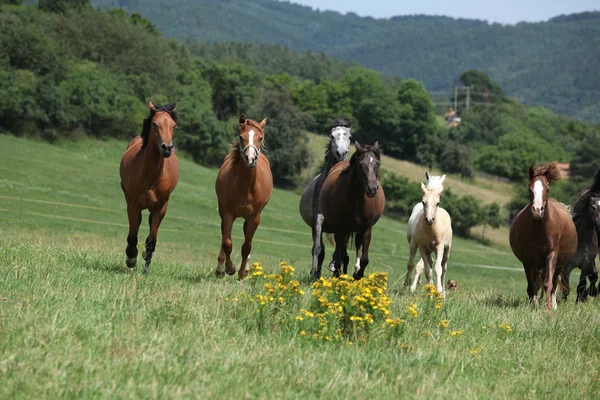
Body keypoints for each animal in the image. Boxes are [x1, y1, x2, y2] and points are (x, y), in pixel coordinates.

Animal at [119, 101, 179, 274]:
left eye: (174, 125)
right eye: (154, 124)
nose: (167, 148)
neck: (151, 175)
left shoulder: (160, 208)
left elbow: (151, 239)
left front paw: (146, 266)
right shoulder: (132, 205)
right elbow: (133, 236)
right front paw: (131, 259)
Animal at [298, 115, 354, 278]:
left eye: (350, 137)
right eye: (332, 135)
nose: (341, 153)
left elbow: (340, 251)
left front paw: (336, 269)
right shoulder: (318, 219)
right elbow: (317, 248)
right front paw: (313, 272)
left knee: (344, 253)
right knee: (322, 250)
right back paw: (318, 273)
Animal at [318, 142, 384, 280]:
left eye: (378, 164)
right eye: (361, 164)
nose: (372, 189)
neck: (356, 199)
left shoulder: (366, 229)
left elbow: (364, 259)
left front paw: (359, 276)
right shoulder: (340, 229)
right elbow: (340, 256)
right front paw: (338, 275)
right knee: (342, 253)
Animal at [508, 162, 580, 310]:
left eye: (547, 188)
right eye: (529, 188)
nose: (537, 210)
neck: (539, 229)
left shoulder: (551, 255)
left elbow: (548, 283)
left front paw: (548, 307)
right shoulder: (528, 260)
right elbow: (532, 285)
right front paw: (532, 305)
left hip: (559, 264)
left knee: (553, 283)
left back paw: (553, 305)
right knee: (536, 283)